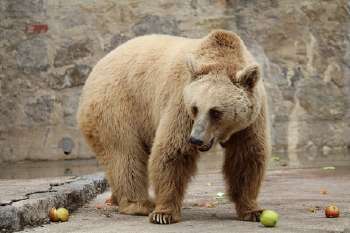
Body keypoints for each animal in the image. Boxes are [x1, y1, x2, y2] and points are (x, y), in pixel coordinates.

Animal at [76, 29, 268, 224]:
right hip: (118, 106)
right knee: (125, 155)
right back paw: (139, 204)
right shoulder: (180, 103)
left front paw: (253, 210)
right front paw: (164, 213)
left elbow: (246, 157)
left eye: (215, 112)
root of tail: (96, 67)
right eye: (195, 108)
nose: (196, 139)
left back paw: (117, 199)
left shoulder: (250, 121)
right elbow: (173, 151)